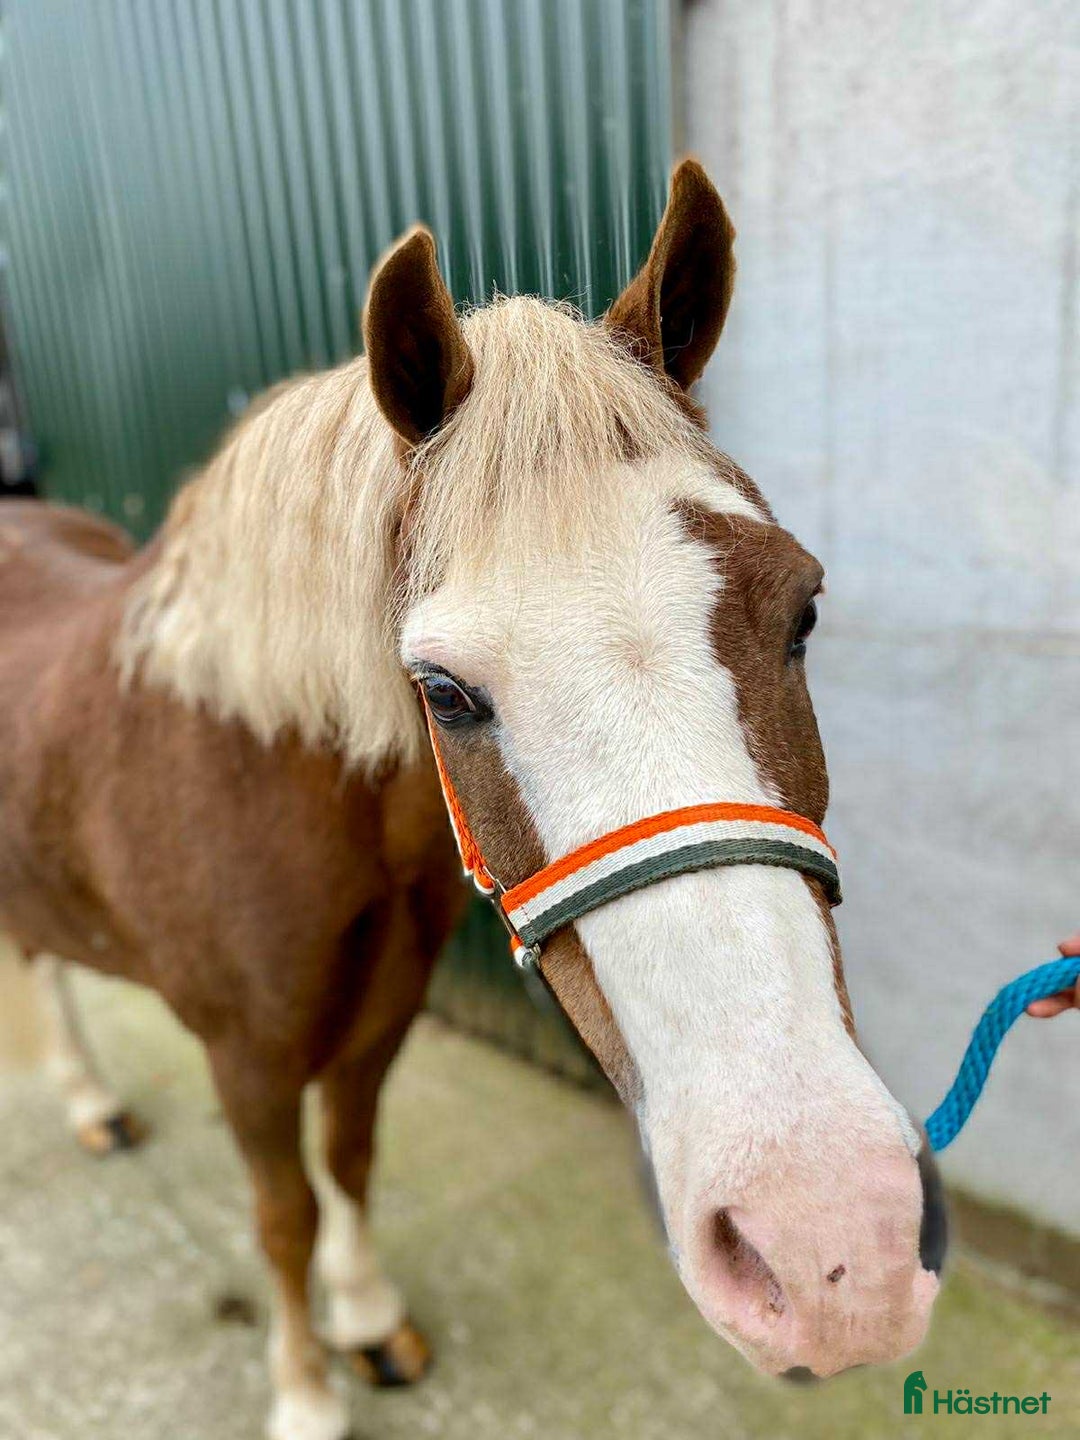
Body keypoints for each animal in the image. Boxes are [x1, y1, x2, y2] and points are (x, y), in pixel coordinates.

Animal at [0, 160, 944, 1440]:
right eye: (442, 690)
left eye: (801, 610)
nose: (831, 1248)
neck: (247, 772)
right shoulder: (247, 1058)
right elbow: (283, 1214)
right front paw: (306, 1390)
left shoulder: (382, 1014)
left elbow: (350, 1159)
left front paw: (366, 1322)